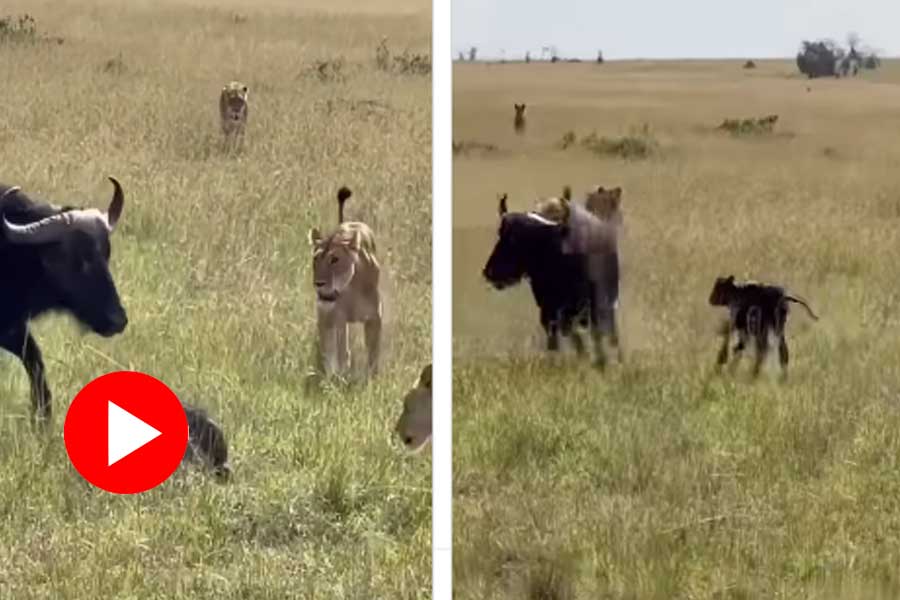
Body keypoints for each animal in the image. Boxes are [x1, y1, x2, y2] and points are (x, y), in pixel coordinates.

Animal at [308, 187, 382, 377]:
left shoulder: (374, 316)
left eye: (335, 259)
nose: (319, 283)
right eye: (315, 259)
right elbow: (340, 351)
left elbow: (373, 351)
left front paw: (372, 377)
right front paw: (337, 374)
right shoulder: (336, 316)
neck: (351, 288)